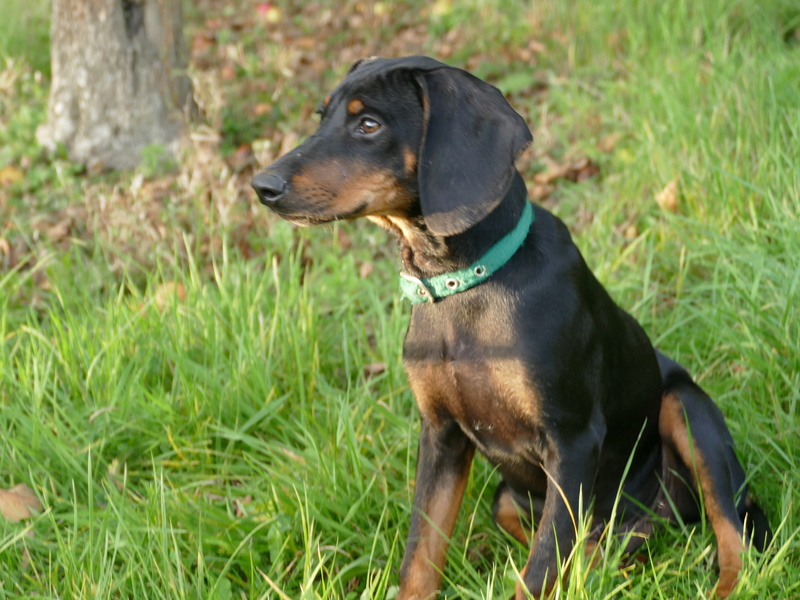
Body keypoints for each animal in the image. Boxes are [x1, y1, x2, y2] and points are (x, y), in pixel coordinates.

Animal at [252, 57, 768, 600]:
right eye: (321, 116)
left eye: (368, 125)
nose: (262, 186)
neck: (461, 286)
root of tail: (661, 515)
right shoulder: (440, 434)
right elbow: (421, 553)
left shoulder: (572, 439)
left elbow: (539, 569)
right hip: (511, 494)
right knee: (580, 537)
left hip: (687, 411)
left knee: (730, 527)